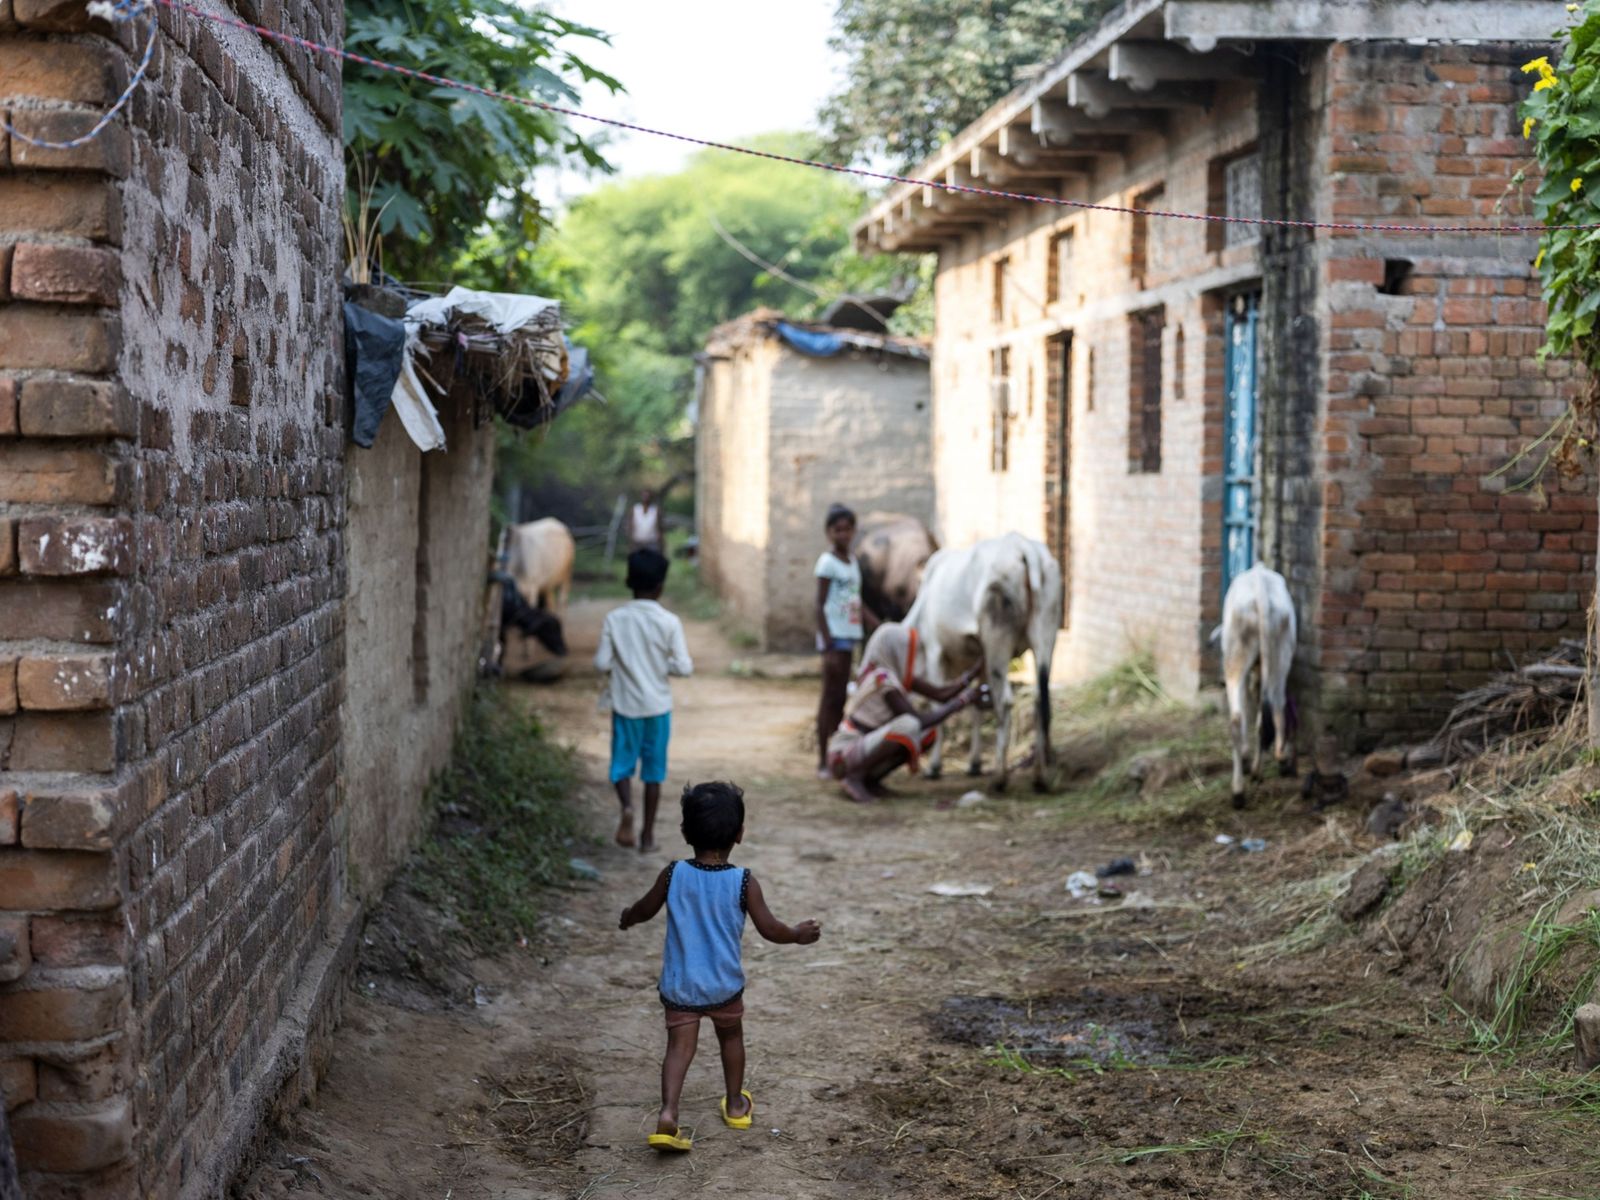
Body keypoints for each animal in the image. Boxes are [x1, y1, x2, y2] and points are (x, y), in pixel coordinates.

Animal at [902, 534, 1062, 793]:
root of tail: (1023, 547)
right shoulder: (980, 661)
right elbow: (977, 705)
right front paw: (974, 764)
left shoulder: (937, 652)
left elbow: (941, 705)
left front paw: (934, 767)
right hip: (1046, 637)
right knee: (1040, 698)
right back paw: (1040, 776)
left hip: (997, 639)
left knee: (1004, 702)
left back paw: (999, 777)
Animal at [1216, 563, 1292, 809]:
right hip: (1279, 656)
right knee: (1275, 705)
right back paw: (1279, 760)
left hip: (1237, 657)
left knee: (1239, 718)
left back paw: (1240, 789)